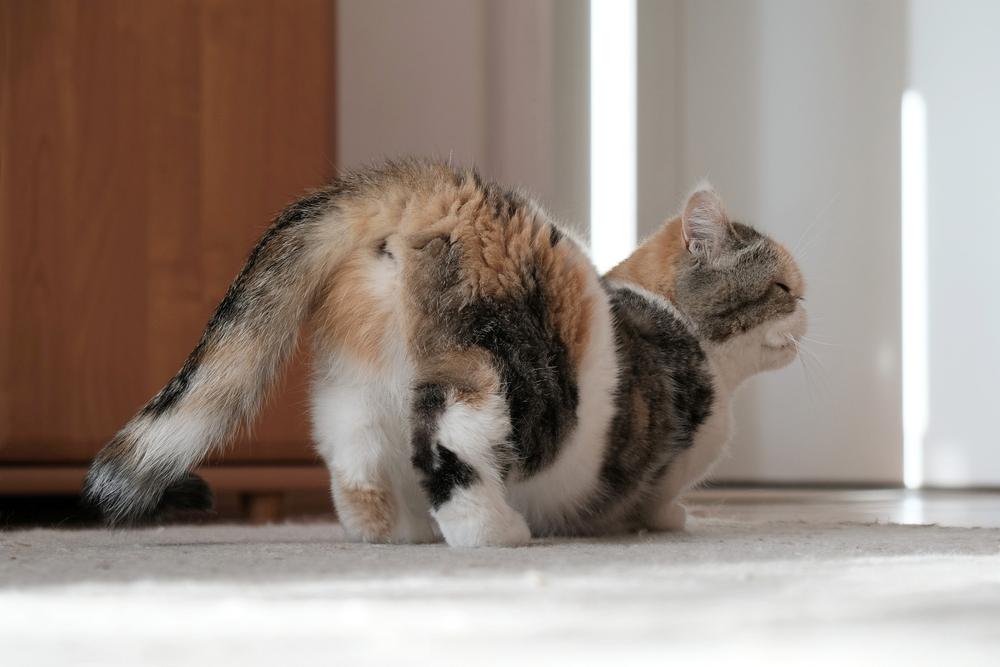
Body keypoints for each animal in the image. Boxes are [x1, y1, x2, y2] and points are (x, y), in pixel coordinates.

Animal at [82, 159, 808, 544]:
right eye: (783, 288)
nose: (808, 314)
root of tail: (432, 189)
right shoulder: (675, 454)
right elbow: (658, 500)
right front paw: (672, 519)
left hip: (353, 381)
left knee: (355, 459)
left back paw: (394, 529)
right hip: (509, 382)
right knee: (447, 441)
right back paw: (490, 530)